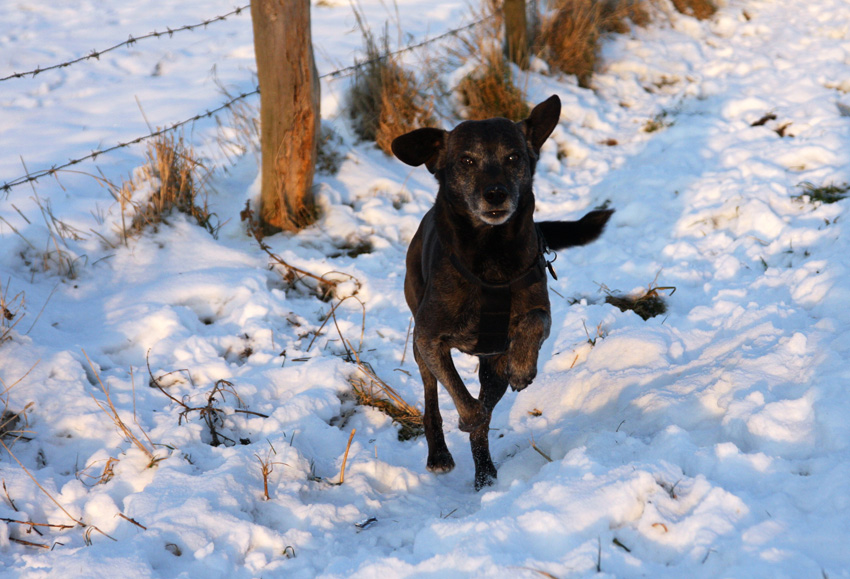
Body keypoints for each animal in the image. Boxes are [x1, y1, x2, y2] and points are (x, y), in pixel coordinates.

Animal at [390, 95, 608, 490]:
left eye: (513, 157)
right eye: (466, 161)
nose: (495, 194)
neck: (490, 254)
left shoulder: (530, 314)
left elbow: (534, 321)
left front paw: (522, 367)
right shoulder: (430, 338)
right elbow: (461, 396)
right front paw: (468, 417)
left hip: (489, 362)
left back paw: (485, 474)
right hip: (418, 340)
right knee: (432, 398)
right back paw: (440, 454)